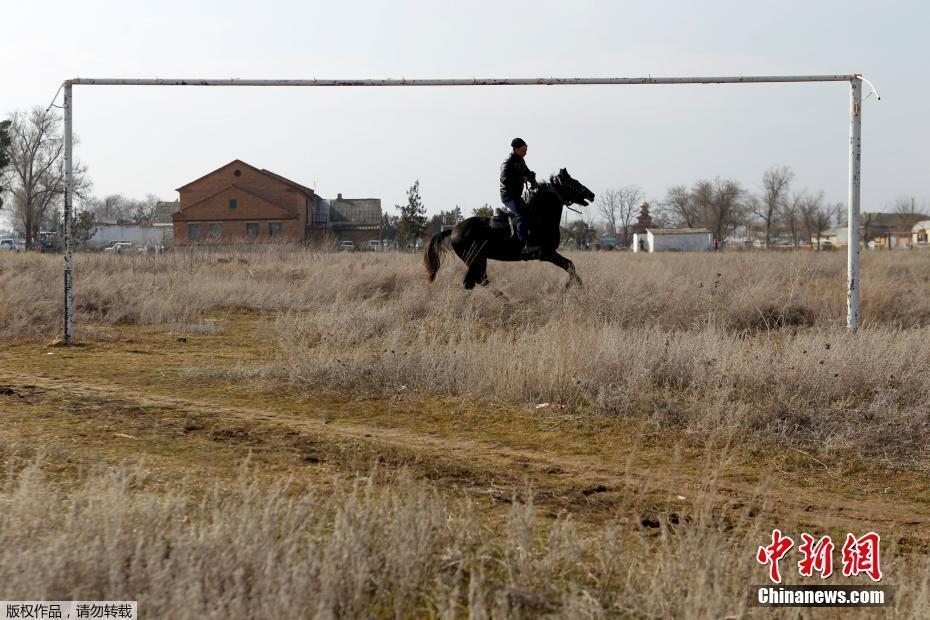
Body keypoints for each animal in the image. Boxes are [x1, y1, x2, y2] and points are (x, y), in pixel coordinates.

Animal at [422, 167, 592, 288]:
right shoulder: (546, 253)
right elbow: (569, 265)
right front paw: (572, 286)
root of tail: (454, 230)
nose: (591, 194)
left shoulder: (549, 254)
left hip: (477, 260)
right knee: (478, 281)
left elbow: (570, 265)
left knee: (476, 281)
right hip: (475, 259)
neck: (540, 216)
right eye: (572, 181)